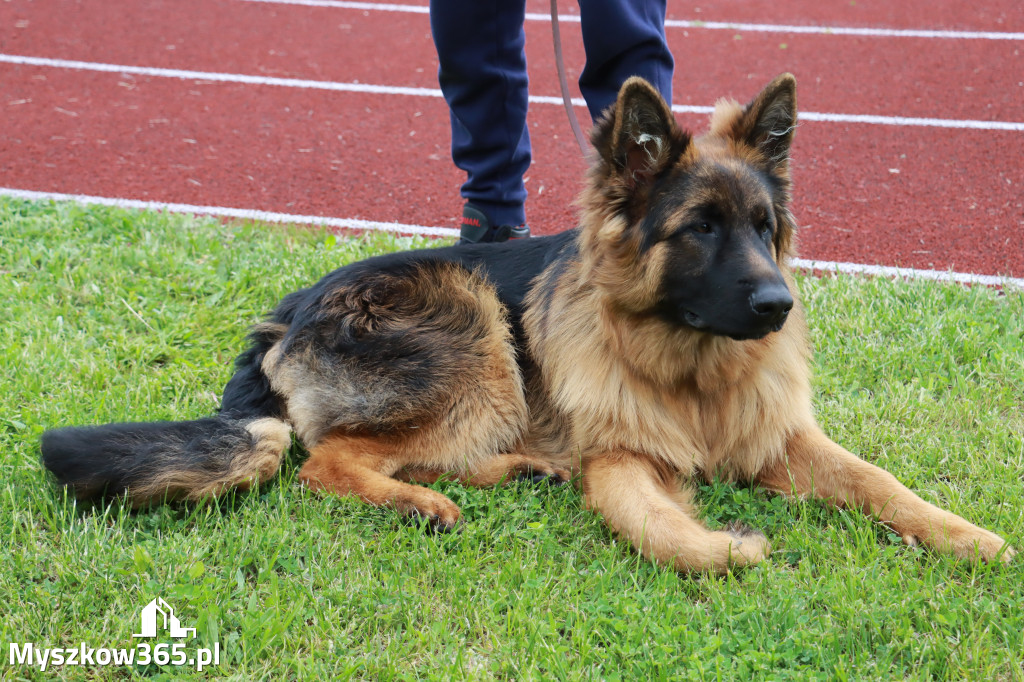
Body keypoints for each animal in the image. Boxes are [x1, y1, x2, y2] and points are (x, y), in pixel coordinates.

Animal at [39, 74, 1007, 569]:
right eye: (700, 229)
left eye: (765, 229)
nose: (778, 308)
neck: (690, 370)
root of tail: (284, 316)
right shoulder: (622, 458)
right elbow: (660, 529)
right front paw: (727, 545)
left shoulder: (782, 436)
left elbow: (881, 480)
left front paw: (962, 534)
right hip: (472, 330)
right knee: (331, 461)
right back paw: (423, 503)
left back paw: (515, 469)